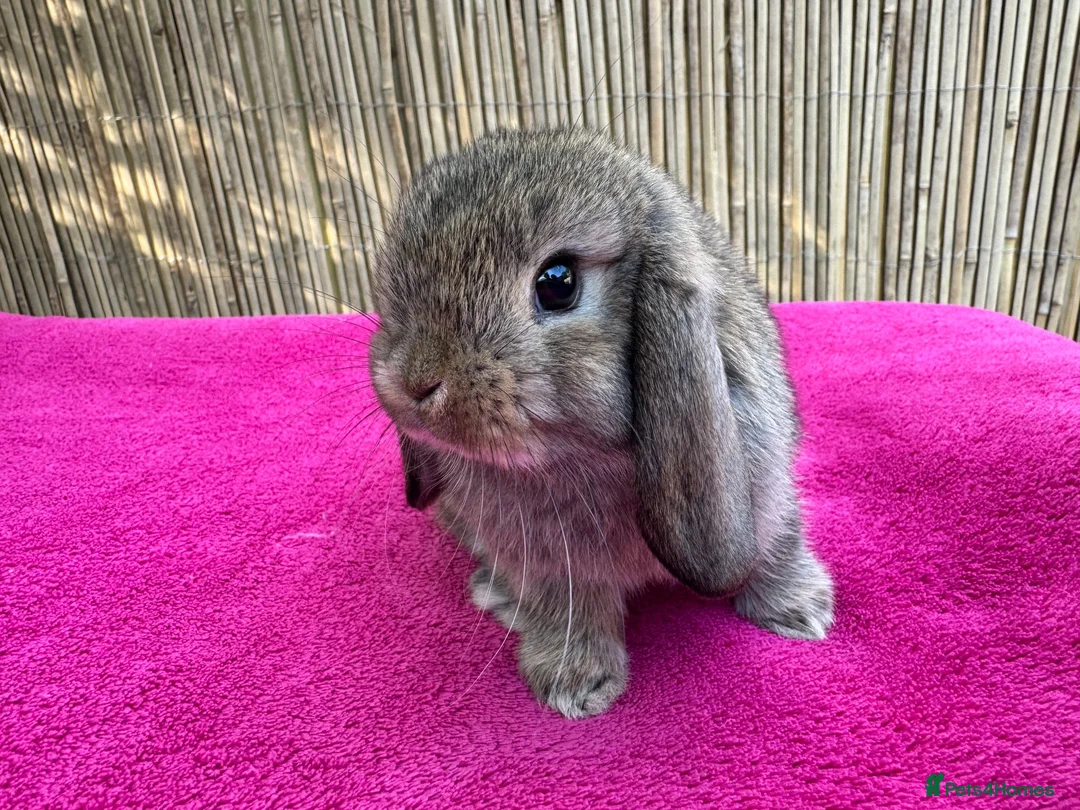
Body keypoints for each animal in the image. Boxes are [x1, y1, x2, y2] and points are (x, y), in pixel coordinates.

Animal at [367, 127, 834, 719]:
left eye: (557, 283)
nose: (414, 383)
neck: (582, 455)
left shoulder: (768, 486)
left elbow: (777, 542)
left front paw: (799, 611)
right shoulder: (552, 568)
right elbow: (570, 611)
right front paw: (575, 686)